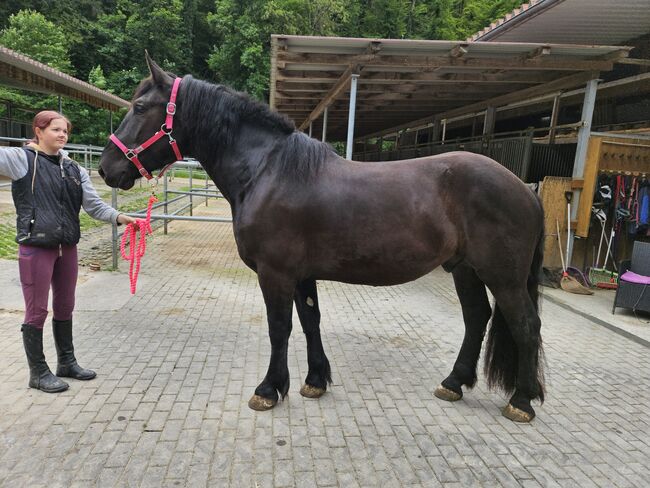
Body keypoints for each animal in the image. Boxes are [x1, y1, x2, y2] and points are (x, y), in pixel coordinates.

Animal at [98, 55, 544, 424]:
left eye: (140, 107)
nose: (106, 168)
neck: (268, 172)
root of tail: (525, 189)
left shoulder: (275, 273)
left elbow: (279, 327)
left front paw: (268, 389)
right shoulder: (301, 275)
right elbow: (310, 321)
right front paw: (314, 381)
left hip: (502, 276)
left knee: (525, 324)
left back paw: (521, 402)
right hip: (465, 269)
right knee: (476, 318)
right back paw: (453, 383)